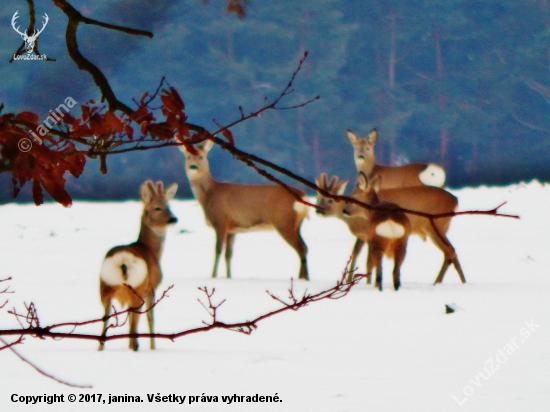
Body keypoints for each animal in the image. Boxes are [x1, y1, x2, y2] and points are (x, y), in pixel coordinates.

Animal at [98, 180, 178, 350]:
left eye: (169, 206)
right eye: (157, 207)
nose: (173, 219)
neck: (151, 250)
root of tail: (123, 261)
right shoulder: (151, 288)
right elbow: (150, 319)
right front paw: (153, 347)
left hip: (105, 289)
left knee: (105, 322)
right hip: (137, 290)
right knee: (134, 326)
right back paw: (135, 347)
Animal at [180, 140, 310, 282]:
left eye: (201, 156)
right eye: (187, 156)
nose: (193, 167)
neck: (209, 194)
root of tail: (303, 196)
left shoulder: (220, 221)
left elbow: (217, 250)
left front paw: (213, 276)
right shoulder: (232, 229)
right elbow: (228, 254)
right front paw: (228, 277)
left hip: (284, 221)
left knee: (301, 248)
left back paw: (302, 279)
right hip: (297, 224)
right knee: (305, 247)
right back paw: (304, 278)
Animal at [316, 172, 468, 284]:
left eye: (330, 200)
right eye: (318, 197)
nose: (319, 210)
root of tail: (455, 200)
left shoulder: (368, 233)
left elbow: (367, 260)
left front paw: (364, 282)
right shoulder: (363, 236)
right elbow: (355, 253)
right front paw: (349, 280)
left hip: (434, 226)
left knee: (449, 251)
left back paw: (437, 282)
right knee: (452, 251)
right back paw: (462, 281)